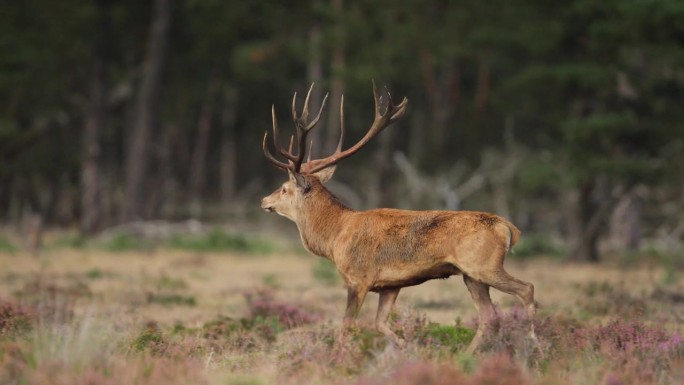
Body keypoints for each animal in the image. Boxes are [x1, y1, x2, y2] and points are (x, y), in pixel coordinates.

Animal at [260, 82, 536, 352]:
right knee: (489, 316)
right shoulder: (390, 285)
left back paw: (534, 342)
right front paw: (412, 348)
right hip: (472, 275)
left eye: (284, 188)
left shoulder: (358, 277)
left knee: (526, 289)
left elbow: (347, 325)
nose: (264, 200)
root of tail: (508, 228)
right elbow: (380, 323)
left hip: (484, 265)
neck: (334, 236)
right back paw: (467, 356)